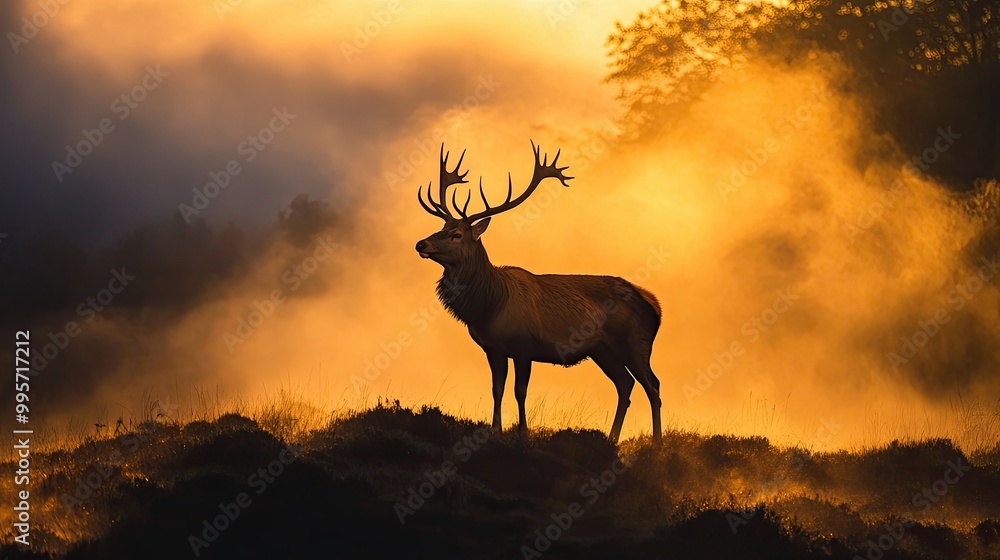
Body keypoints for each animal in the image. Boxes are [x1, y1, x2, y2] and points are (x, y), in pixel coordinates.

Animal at [414, 141, 663, 445]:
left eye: (457, 235)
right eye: (441, 227)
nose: (421, 244)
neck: (490, 306)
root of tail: (653, 304)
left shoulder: (525, 345)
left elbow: (520, 390)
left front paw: (522, 434)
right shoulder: (492, 348)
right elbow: (497, 389)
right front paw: (495, 433)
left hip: (635, 342)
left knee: (652, 385)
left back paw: (657, 444)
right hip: (602, 350)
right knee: (625, 384)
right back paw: (611, 439)